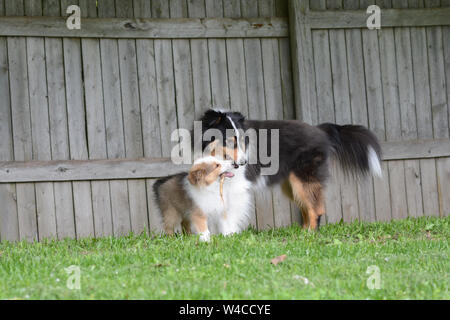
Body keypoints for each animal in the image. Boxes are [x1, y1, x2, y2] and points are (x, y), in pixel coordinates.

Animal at [199, 110, 382, 230]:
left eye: (242, 140)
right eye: (230, 141)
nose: (244, 162)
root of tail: (320, 129)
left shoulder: (238, 187)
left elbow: (230, 213)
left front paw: (229, 234)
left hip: (302, 178)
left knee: (316, 209)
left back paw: (310, 235)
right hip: (292, 185)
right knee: (307, 208)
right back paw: (302, 233)